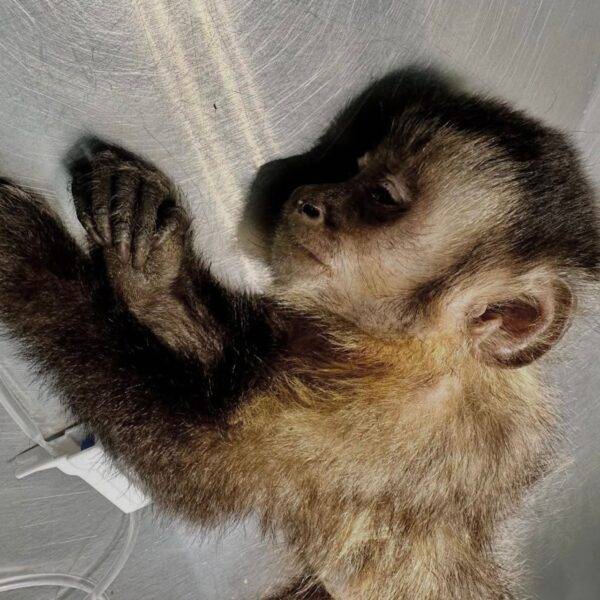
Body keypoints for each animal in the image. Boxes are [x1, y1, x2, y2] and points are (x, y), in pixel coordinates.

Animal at [0, 71, 598, 599]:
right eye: (353, 172)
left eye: (382, 198)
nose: (308, 198)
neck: (428, 350)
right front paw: (149, 274)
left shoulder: (398, 420)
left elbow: (196, 463)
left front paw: (25, 254)